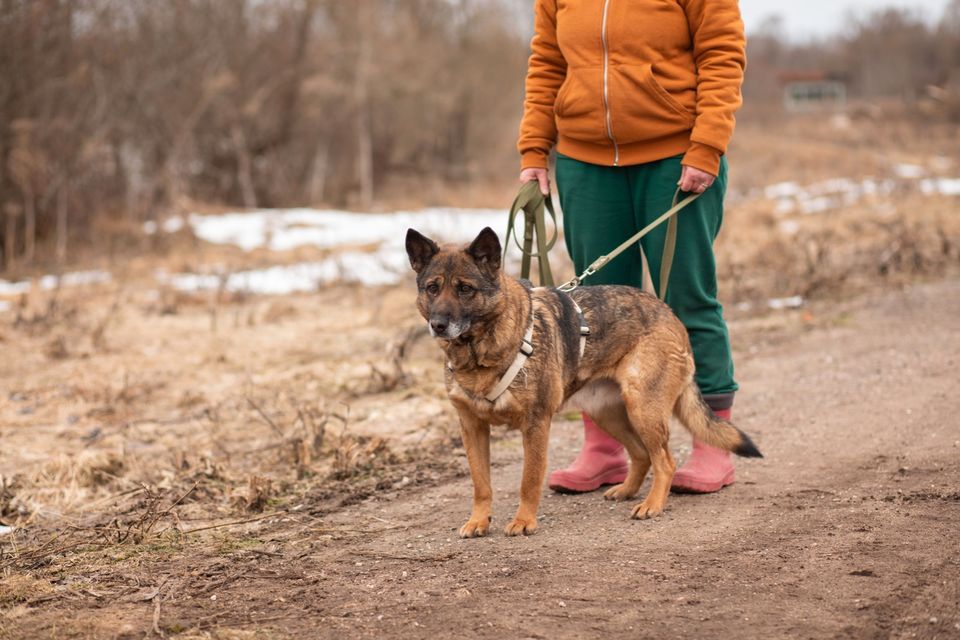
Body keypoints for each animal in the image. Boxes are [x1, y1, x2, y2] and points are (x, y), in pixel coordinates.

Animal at [404, 228, 756, 536]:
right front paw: (478, 521)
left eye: (465, 288)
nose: (438, 325)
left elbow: (529, 480)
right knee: (641, 454)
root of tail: (669, 313)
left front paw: (524, 521)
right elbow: (481, 484)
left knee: (665, 461)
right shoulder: (473, 428)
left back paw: (652, 504)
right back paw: (626, 490)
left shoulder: (536, 425)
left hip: (643, 407)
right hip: (608, 413)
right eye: (432, 288)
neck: (479, 352)